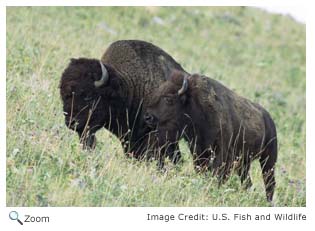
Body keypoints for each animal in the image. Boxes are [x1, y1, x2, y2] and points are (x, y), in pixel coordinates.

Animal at [144, 70, 278, 200]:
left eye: (169, 99)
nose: (147, 117)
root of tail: (269, 119)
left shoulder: (222, 154)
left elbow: (218, 174)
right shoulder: (199, 152)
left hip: (268, 159)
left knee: (269, 183)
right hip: (244, 163)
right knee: (247, 182)